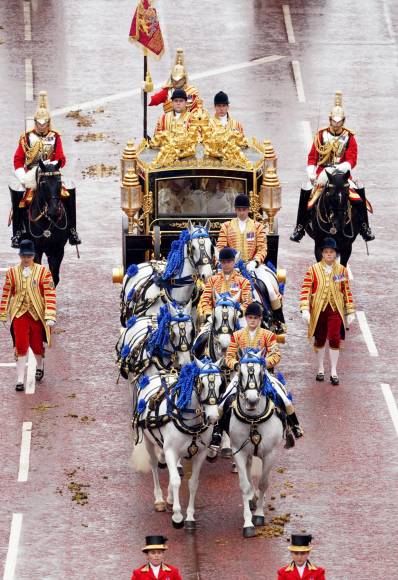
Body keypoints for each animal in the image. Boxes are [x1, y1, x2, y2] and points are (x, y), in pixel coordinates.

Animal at [131, 356, 222, 528]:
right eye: (202, 383)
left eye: (221, 384)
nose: (213, 417)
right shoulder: (170, 451)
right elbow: (175, 480)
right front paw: (178, 515)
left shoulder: (200, 454)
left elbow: (193, 483)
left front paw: (190, 516)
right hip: (148, 441)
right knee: (154, 464)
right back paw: (159, 499)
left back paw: (170, 498)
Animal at [227, 348, 286, 540]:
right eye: (240, 373)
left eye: (261, 372)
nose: (252, 401)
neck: (253, 419)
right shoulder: (238, 451)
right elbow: (244, 485)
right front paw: (248, 523)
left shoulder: (270, 454)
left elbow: (263, 483)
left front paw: (259, 515)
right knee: (247, 469)